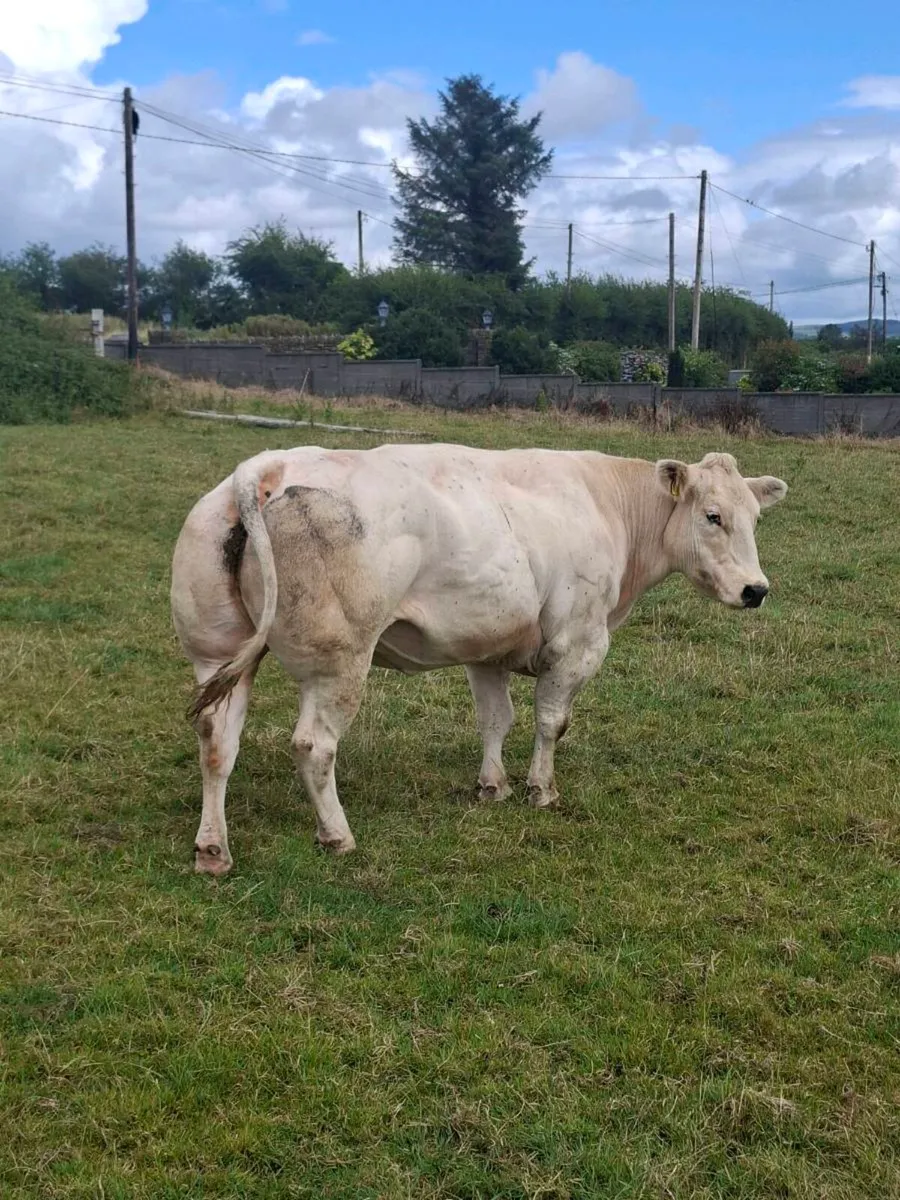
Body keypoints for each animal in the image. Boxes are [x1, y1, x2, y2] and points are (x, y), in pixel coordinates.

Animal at [171, 444, 787, 875]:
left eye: (755, 518)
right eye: (712, 516)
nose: (756, 590)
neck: (606, 504)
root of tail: (266, 468)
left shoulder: (487, 645)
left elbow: (495, 719)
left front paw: (493, 786)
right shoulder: (577, 642)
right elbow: (550, 722)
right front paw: (541, 791)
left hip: (216, 654)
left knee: (216, 742)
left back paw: (213, 848)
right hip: (338, 662)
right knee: (312, 746)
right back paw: (337, 835)